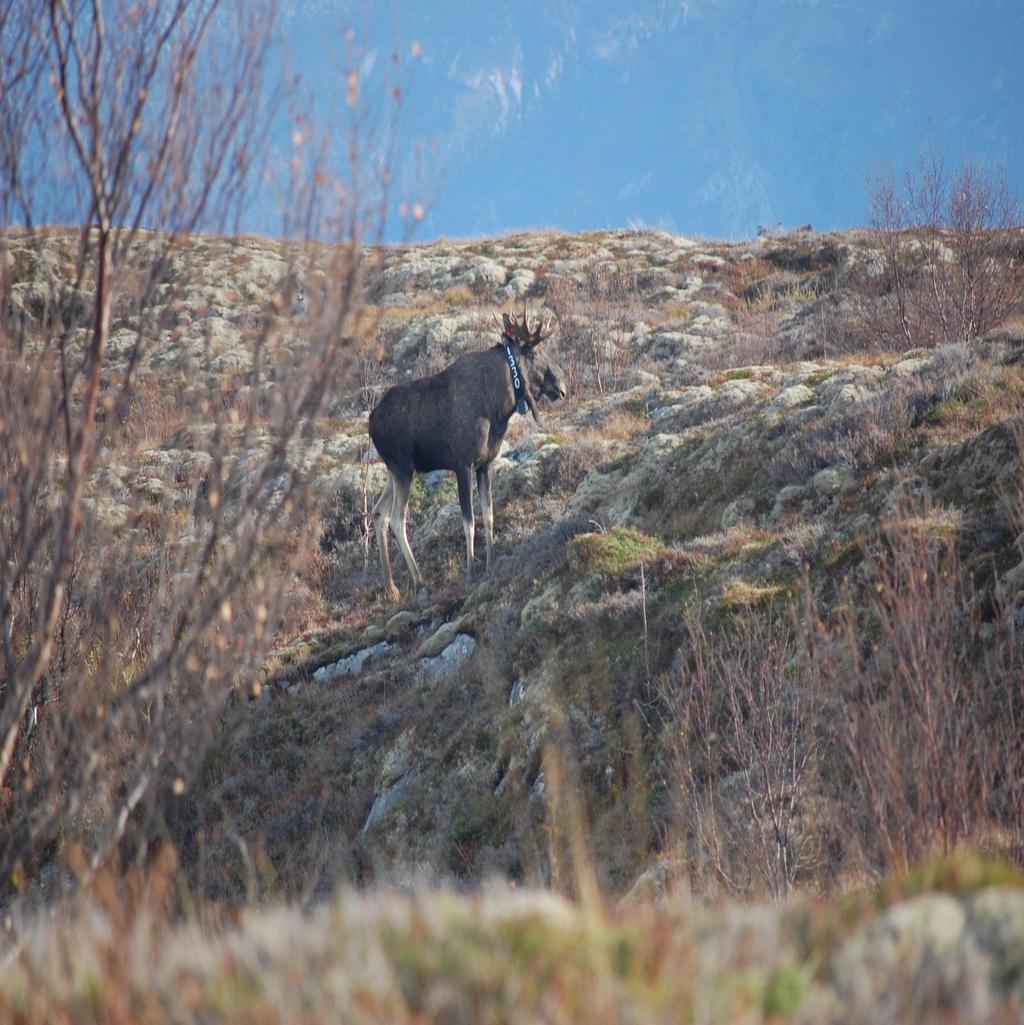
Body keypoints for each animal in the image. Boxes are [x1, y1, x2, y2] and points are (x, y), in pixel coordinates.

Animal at [366, 311, 565, 598]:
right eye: (535, 352)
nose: (562, 384)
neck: (499, 408)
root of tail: (370, 422)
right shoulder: (463, 465)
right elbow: (469, 522)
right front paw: (471, 572)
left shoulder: (485, 465)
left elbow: (489, 515)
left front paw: (491, 563)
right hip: (402, 467)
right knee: (396, 519)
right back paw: (419, 582)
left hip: (395, 471)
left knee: (379, 514)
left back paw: (391, 588)